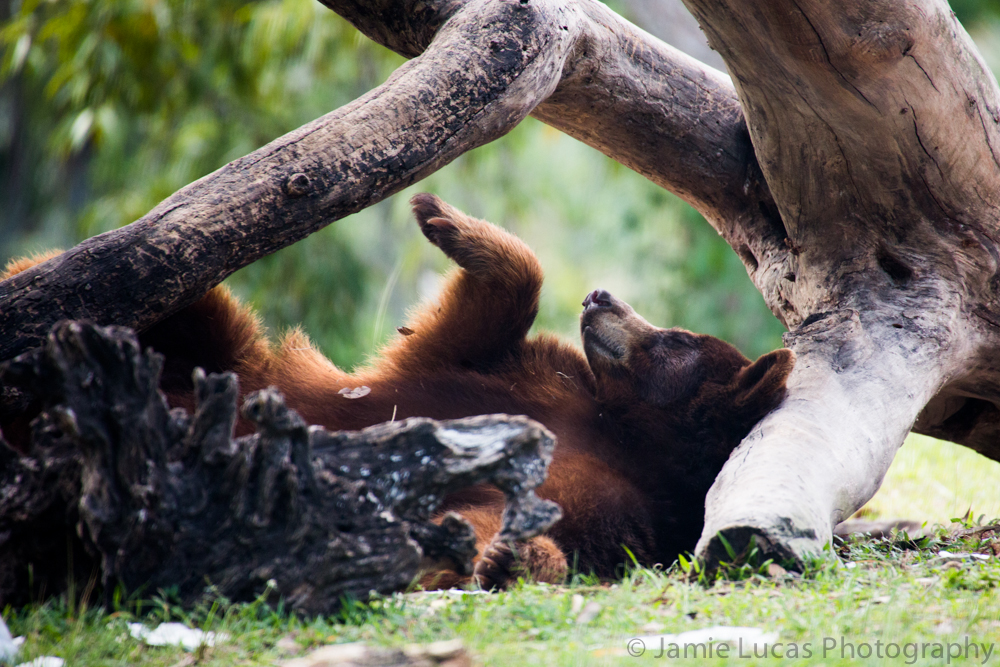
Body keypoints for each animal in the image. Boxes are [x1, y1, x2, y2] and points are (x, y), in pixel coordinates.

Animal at [0, 194, 795, 590]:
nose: (600, 296)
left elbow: (512, 519)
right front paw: (447, 219)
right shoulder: (525, 380)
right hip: (208, 358)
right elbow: (476, 325)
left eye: (677, 340)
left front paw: (505, 557)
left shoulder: (629, 511)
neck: (629, 436)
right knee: (174, 299)